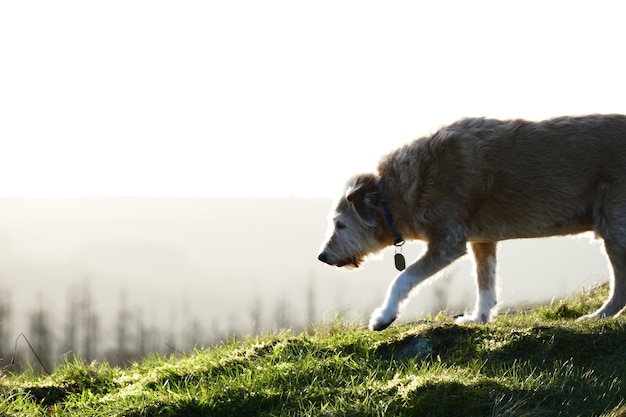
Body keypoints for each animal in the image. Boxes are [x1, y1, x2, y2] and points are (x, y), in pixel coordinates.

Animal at [320, 115, 624, 330]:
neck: (396, 191)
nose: (322, 256)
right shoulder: (482, 240)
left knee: (620, 287)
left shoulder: (448, 242)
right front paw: (479, 318)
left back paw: (599, 316)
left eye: (340, 224)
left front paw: (383, 316)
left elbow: (402, 278)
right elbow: (485, 282)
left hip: (615, 228)